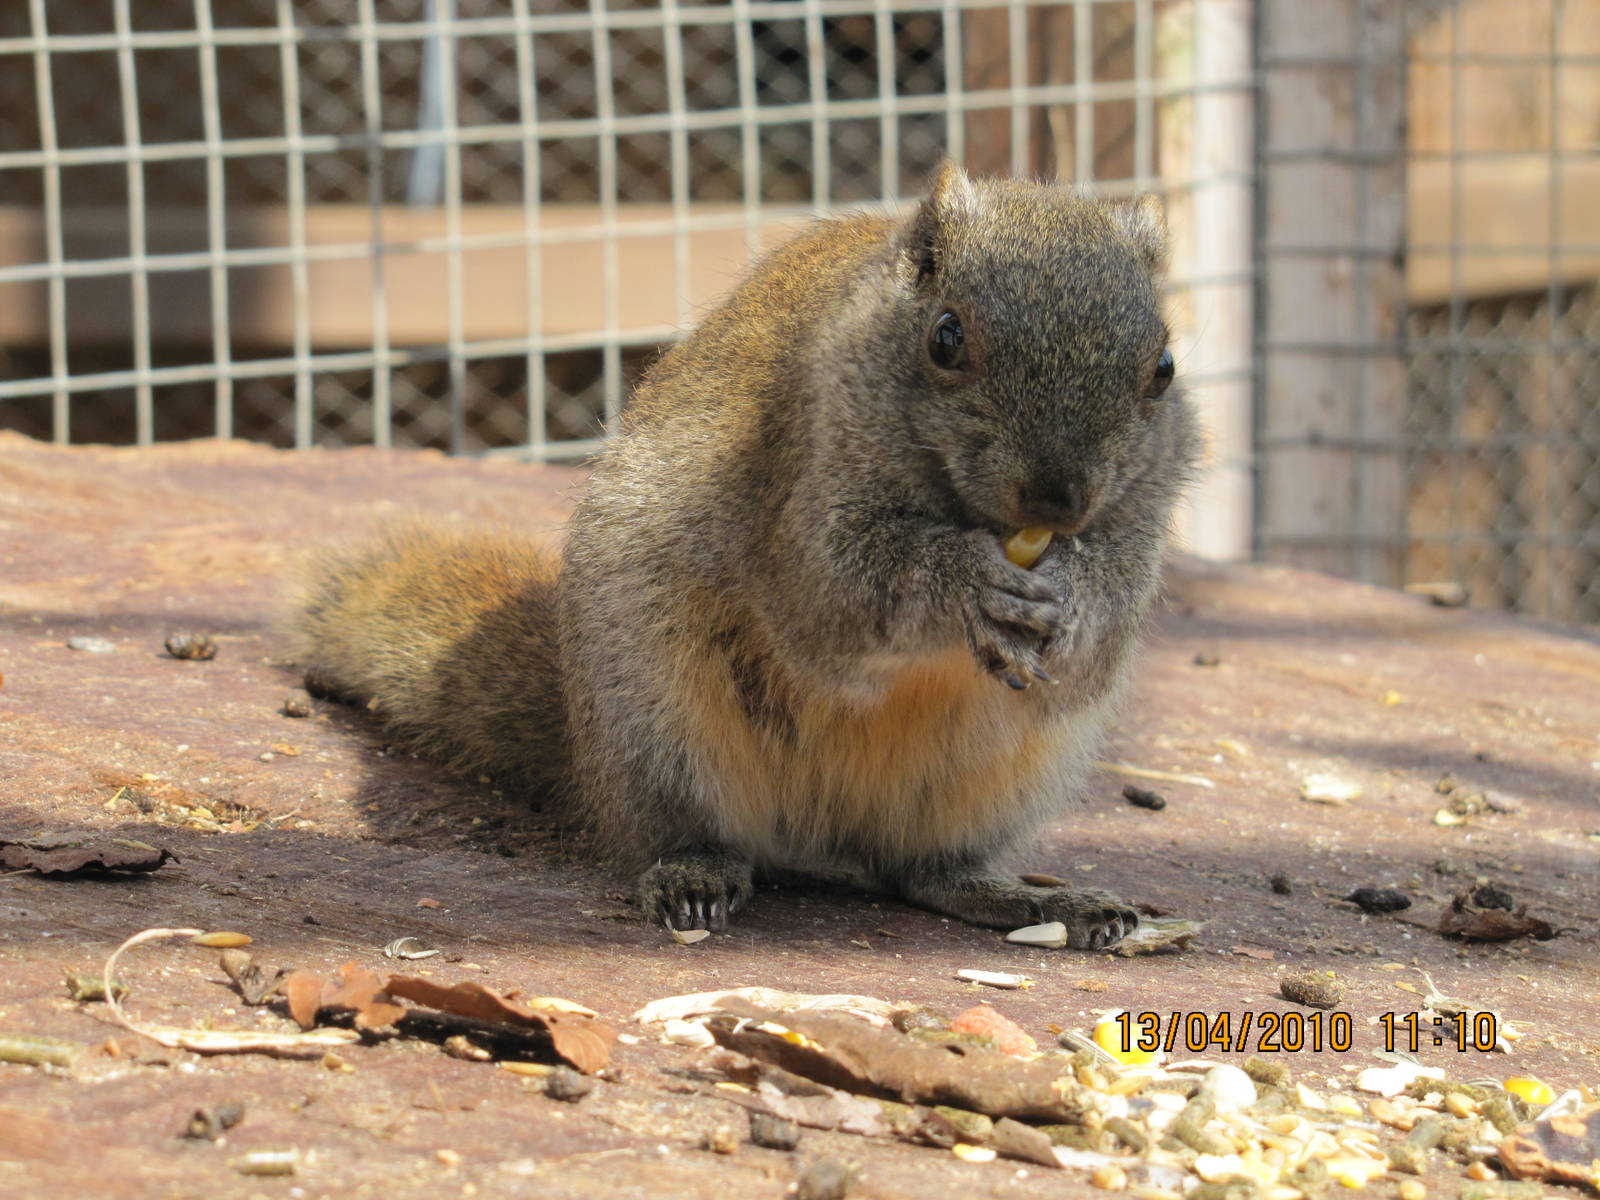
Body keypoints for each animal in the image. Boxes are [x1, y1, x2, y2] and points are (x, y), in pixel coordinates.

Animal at [288, 160, 1199, 950]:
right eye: (946, 339)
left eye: (1163, 367)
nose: (1056, 498)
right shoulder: (796, 481)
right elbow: (838, 596)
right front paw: (968, 580)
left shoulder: (1142, 520)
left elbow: (1104, 622)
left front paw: (1075, 596)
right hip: (653, 720)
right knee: (681, 833)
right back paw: (692, 876)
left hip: (1000, 783)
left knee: (924, 874)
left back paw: (1036, 901)